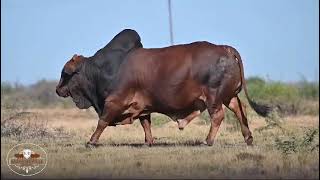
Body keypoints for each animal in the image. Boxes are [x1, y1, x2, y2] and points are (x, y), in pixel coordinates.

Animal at [86, 41, 272, 146]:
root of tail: (225, 49)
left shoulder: (115, 100)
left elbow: (102, 121)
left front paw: (91, 141)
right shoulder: (143, 106)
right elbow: (146, 123)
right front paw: (148, 142)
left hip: (213, 97)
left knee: (218, 116)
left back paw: (208, 141)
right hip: (228, 96)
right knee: (240, 110)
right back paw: (248, 138)